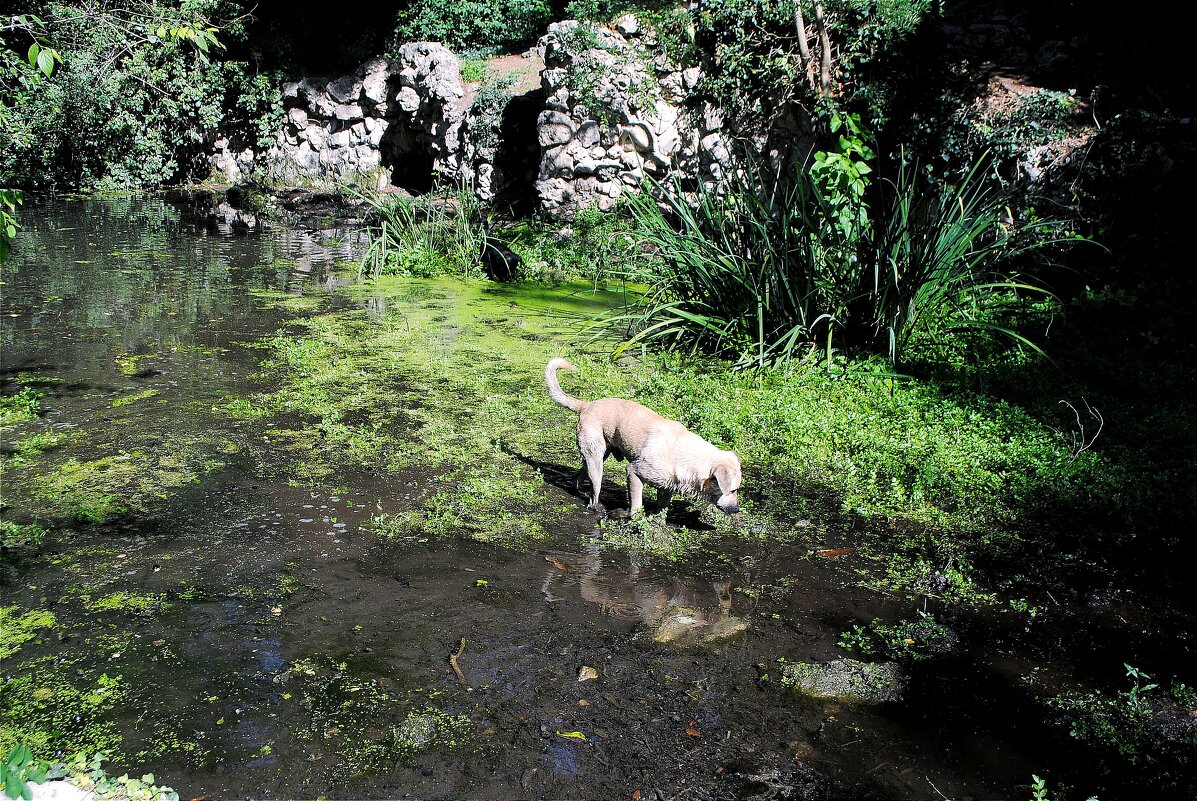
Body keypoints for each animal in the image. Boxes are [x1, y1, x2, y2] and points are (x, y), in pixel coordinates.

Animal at [545, 356, 737, 512]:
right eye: (733, 490)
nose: (736, 510)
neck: (687, 456)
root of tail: (586, 406)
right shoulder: (634, 473)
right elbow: (636, 505)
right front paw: (636, 519)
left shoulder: (666, 486)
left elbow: (662, 507)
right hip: (596, 462)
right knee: (595, 492)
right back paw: (596, 507)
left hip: (598, 455)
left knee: (578, 478)